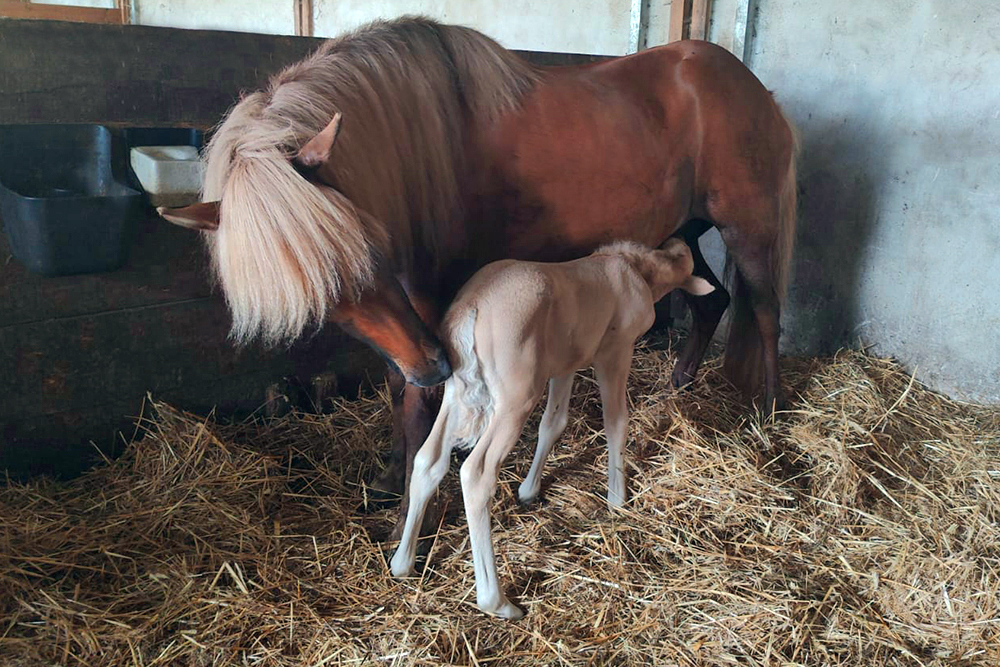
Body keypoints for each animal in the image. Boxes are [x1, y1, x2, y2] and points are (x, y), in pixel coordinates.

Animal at [162, 14, 796, 516]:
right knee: (712, 301)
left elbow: (416, 400)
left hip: (749, 229)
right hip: (682, 231)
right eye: (323, 298)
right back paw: (678, 385)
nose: (434, 367)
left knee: (766, 314)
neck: (417, 150)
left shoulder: (428, 304)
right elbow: (397, 383)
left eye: (368, 250)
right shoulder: (405, 323)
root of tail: (755, 89)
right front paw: (390, 477)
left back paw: (769, 414)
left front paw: (412, 497)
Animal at [388, 240, 712, 620]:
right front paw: (617, 498)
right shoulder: (614, 352)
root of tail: (471, 309)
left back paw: (403, 562)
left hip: (457, 392)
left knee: (428, 460)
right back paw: (497, 602)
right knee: (477, 473)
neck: (635, 270)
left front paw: (529, 491)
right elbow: (616, 421)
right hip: (516, 397)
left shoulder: (565, 363)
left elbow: (553, 422)